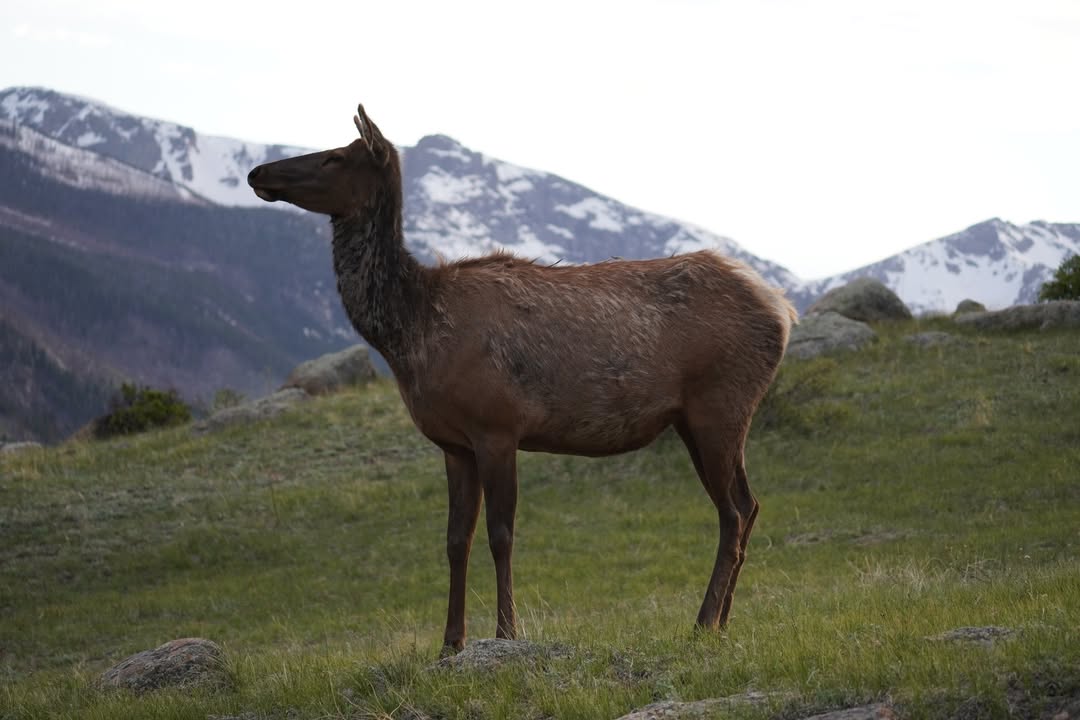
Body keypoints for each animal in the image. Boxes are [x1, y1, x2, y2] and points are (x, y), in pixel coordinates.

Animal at [247, 104, 797, 655]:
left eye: (335, 157)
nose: (258, 173)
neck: (412, 336)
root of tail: (782, 308)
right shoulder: (454, 443)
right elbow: (455, 540)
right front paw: (450, 642)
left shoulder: (497, 426)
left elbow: (501, 533)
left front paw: (506, 632)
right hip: (696, 418)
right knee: (747, 505)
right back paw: (723, 620)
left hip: (720, 404)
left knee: (733, 512)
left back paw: (703, 622)